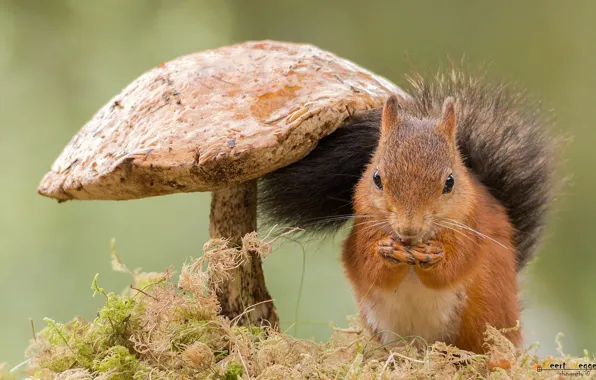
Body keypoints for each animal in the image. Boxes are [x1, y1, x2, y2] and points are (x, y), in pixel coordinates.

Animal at [260, 70, 560, 354]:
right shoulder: (362, 232)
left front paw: (435, 255)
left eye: (450, 182)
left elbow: (457, 263)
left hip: (485, 316)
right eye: (376, 178)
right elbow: (368, 265)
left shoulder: (473, 230)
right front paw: (386, 250)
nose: (408, 229)